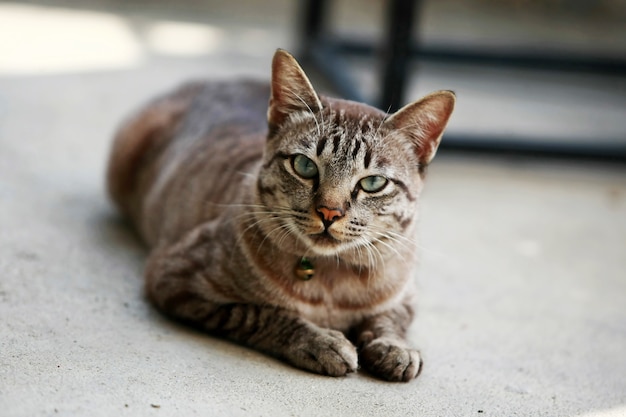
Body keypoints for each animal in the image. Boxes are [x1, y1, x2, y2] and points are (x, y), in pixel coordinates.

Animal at [106, 48, 454, 380]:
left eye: (373, 183)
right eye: (304, 166)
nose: (329, 212)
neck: (331, 283)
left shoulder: (405, 296)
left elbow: (390, 320)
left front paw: (396, 348)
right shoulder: (176, 278)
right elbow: (262, 314)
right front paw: (322, 342)